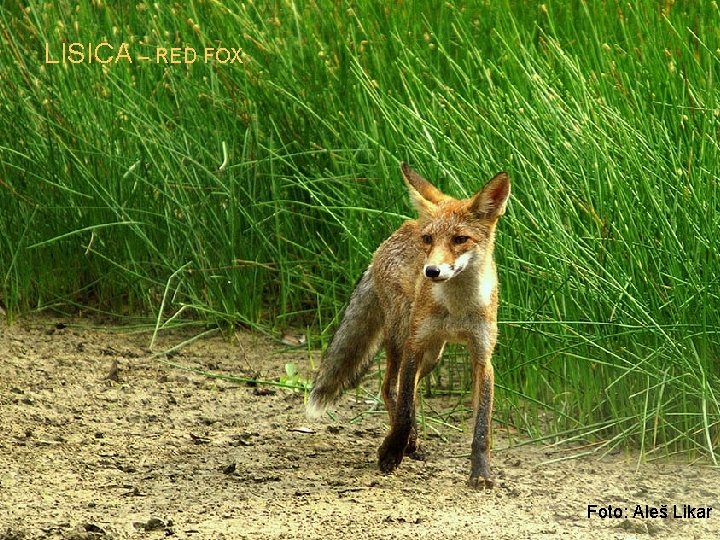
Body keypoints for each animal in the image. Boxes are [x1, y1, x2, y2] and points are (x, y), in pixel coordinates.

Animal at [306, 162, 510, 488]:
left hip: (433, 355)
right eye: (429, 240)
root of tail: (400, 229)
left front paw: (481, 473)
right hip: (402, 336)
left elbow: (481, 429)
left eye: (460, 239)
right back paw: (404, 440)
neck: (457, 308)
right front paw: (391, 452)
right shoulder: (415, 344)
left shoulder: (482, 357)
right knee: (390, 388)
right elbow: (402, 408)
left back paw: (412, 442)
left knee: (408, 388)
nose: (431, 271)